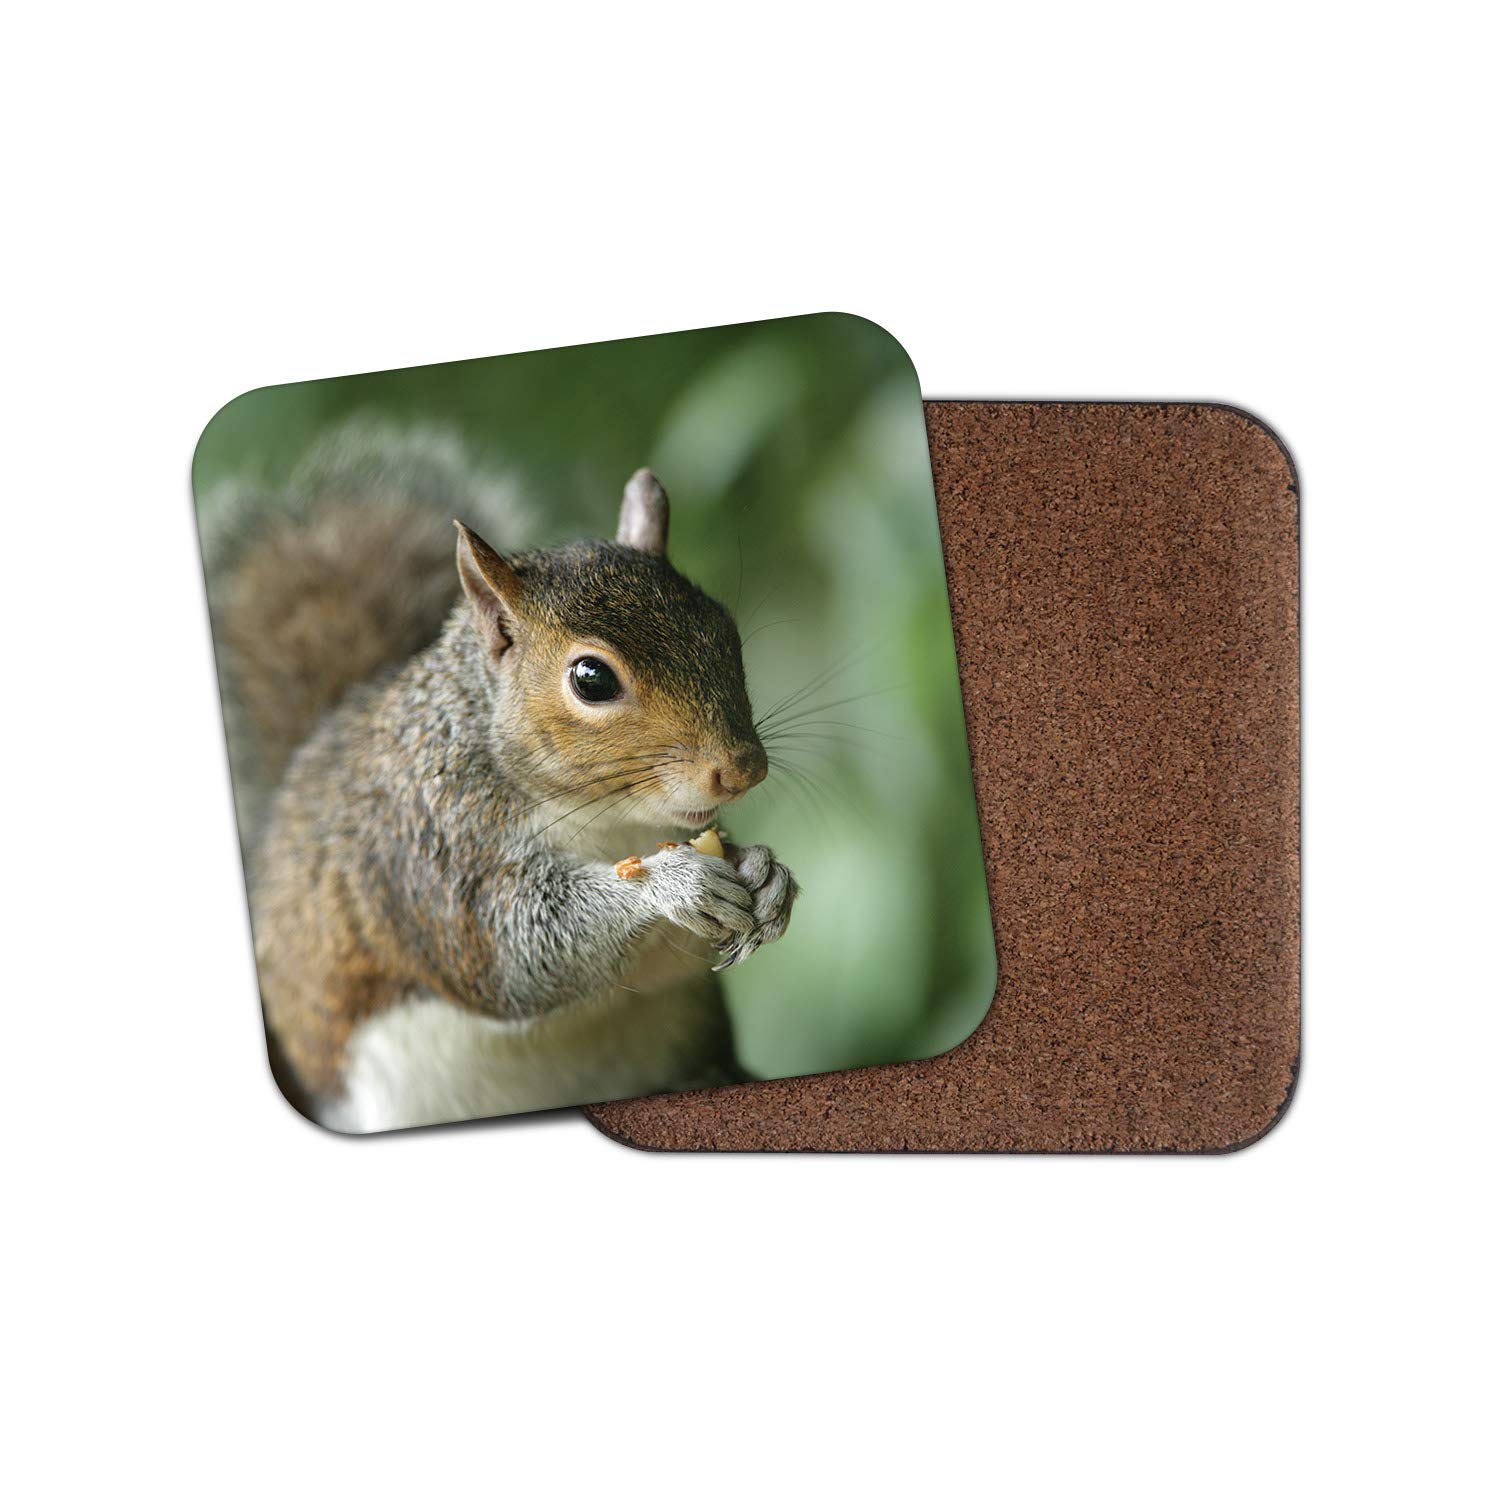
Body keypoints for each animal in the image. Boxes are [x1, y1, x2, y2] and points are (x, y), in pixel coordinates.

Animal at [205, 426, 798, 1132]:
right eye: (592, 679)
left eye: (724, 628)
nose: (743, 768)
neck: (606, 819)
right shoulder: (425, 849)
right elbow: (515, 951)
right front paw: (673, 886)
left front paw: (766, 875)